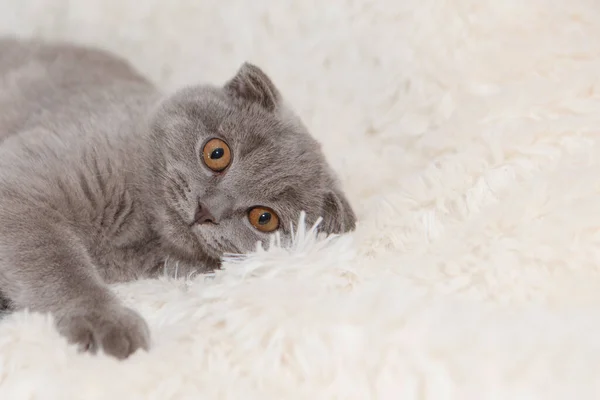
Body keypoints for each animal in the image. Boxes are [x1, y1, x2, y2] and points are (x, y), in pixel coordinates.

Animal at [0, 38, 356, 360]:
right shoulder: (24, 185)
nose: (207, 209)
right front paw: (107, 324)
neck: (136, 231)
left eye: (264, 218)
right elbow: (60, 264)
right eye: (217, 153)